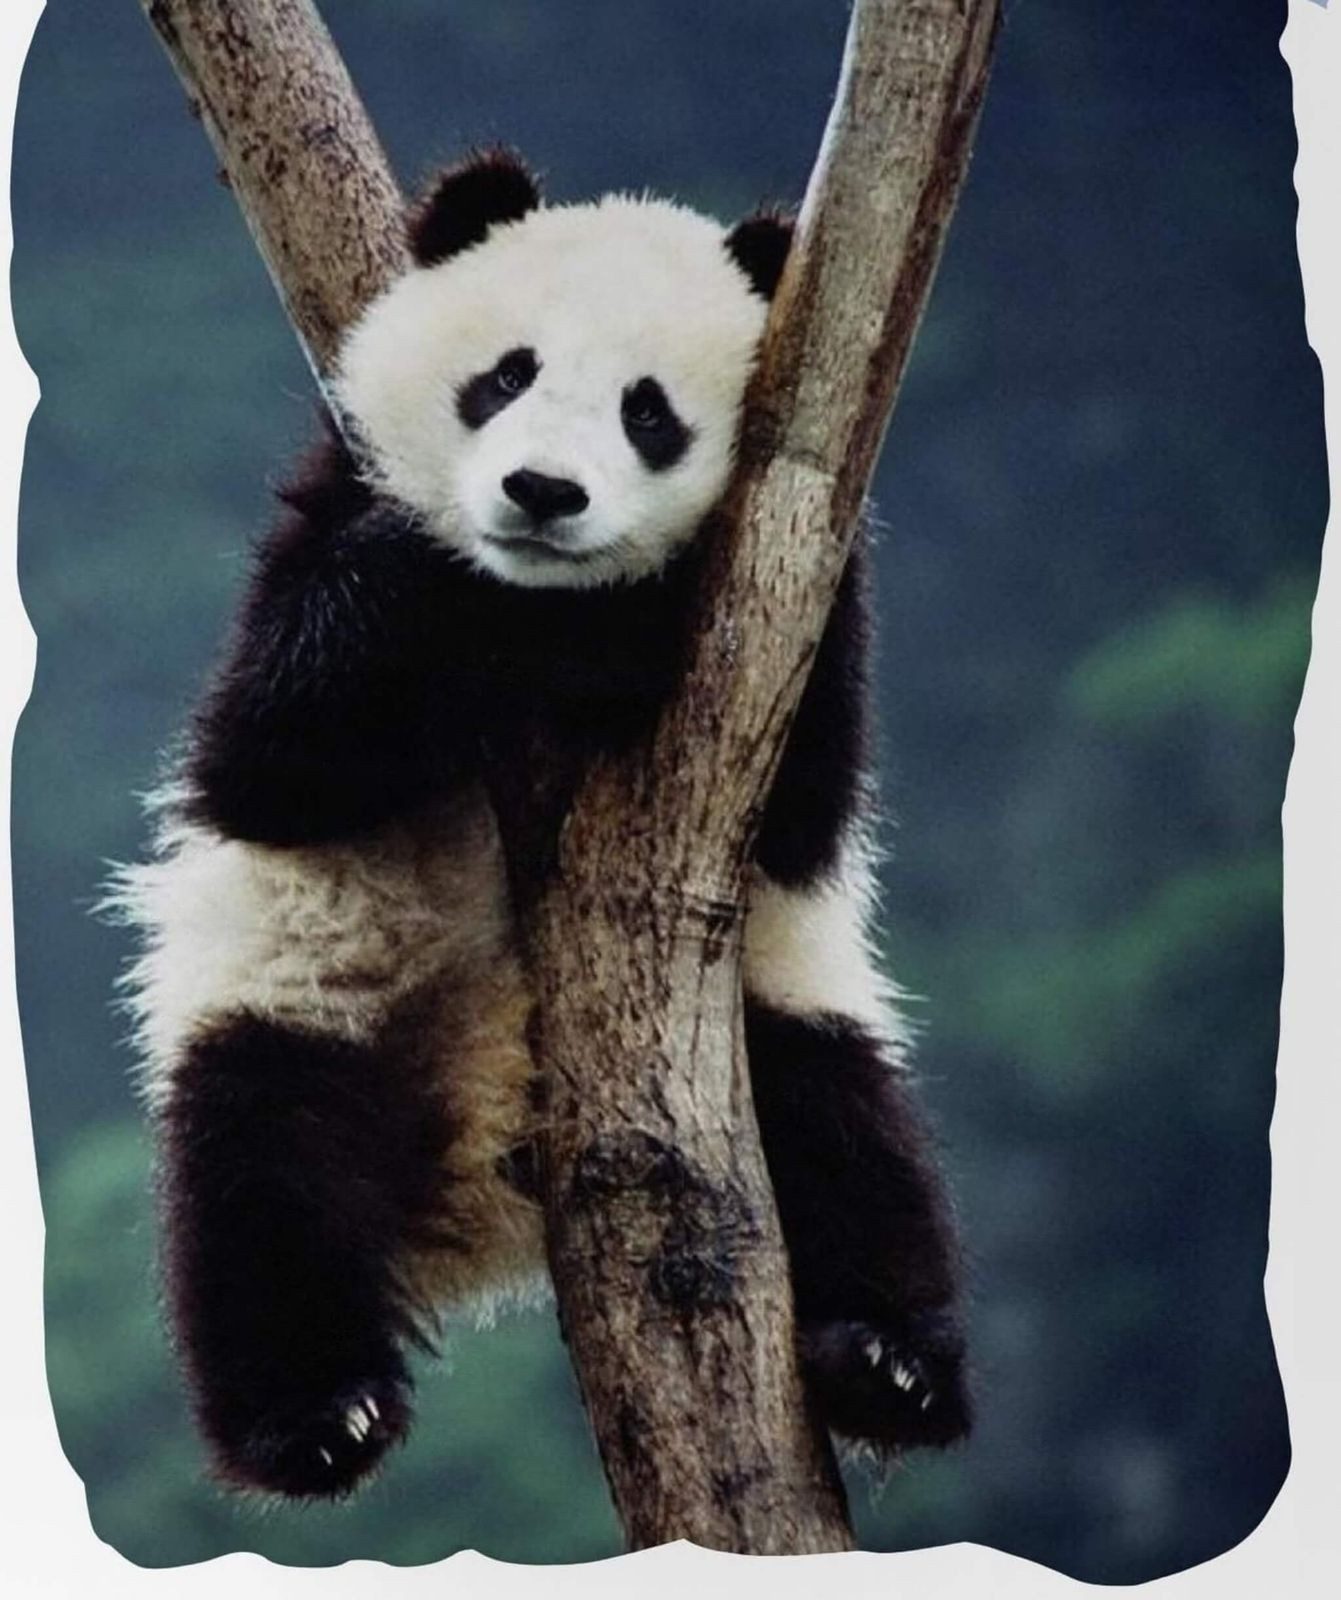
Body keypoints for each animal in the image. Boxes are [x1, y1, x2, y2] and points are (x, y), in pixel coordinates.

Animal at [110, 148, 971, 1501]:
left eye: (649, 413)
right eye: (505, 375)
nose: (540, 493)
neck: (537, 607)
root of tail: (483, 1185)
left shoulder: (795, 597)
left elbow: (803, 809)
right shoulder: (327, 511)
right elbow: (269, 752)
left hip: (769, 1024)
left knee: (849, 1139)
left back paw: (890, 1363)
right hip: (304, 999)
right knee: (260, 1186)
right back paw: (319, 1415)